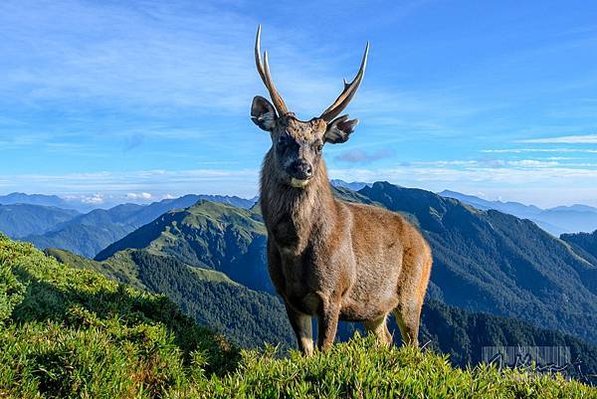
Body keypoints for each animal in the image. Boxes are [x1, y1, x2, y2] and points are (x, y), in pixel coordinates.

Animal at [251, 25, 434, 356]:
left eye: (320, 145)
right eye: (282, 138)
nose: (303, 169)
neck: (294, 249)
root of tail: (426, 246)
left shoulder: (334, 292)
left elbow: (325, 351)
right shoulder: (288, 297)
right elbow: (307, 353)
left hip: (414, 292)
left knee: (413, 344)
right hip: (375, 309)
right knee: (386, 340)